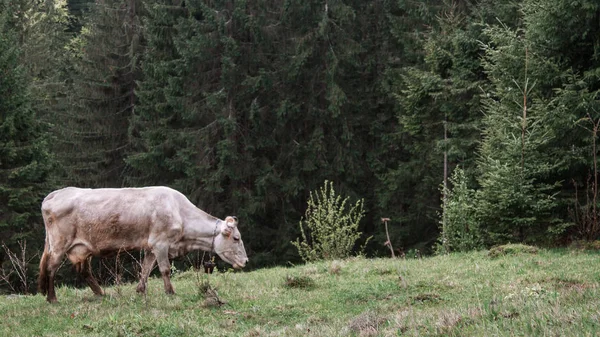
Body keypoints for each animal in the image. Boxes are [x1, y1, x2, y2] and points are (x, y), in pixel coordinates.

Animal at [36, 186, 247, 302]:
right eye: (236, 238)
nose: (245, 261)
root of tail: (55, 194)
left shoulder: (151, 247)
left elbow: (145, 269)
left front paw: (140, 290)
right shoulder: (160, 243)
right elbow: (164, 269)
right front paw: (170, 292)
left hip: (81, 248)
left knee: (84, 271)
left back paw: (101, 293)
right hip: (59, 244)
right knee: (51, 268)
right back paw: (52, 298)